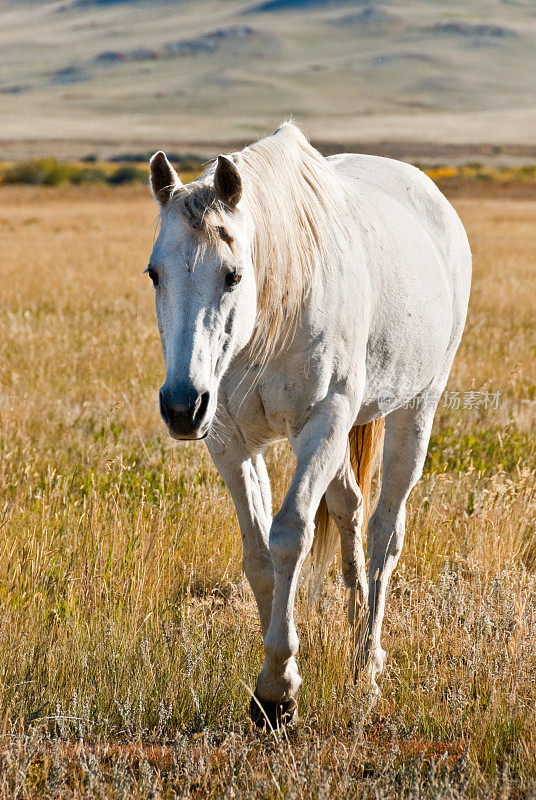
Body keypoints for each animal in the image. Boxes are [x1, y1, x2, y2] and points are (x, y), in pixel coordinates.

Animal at [146, 122, 468, 728]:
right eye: (155, 274)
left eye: (234, 275)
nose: (181, 406)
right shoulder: (229, 441)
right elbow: (257, 556)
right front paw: (278, 679)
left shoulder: (323, 424)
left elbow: (289, 535)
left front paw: (277, 690)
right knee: (349, 509)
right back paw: (356, 638)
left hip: (417, 408)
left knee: (385, 530)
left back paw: (368, 664)